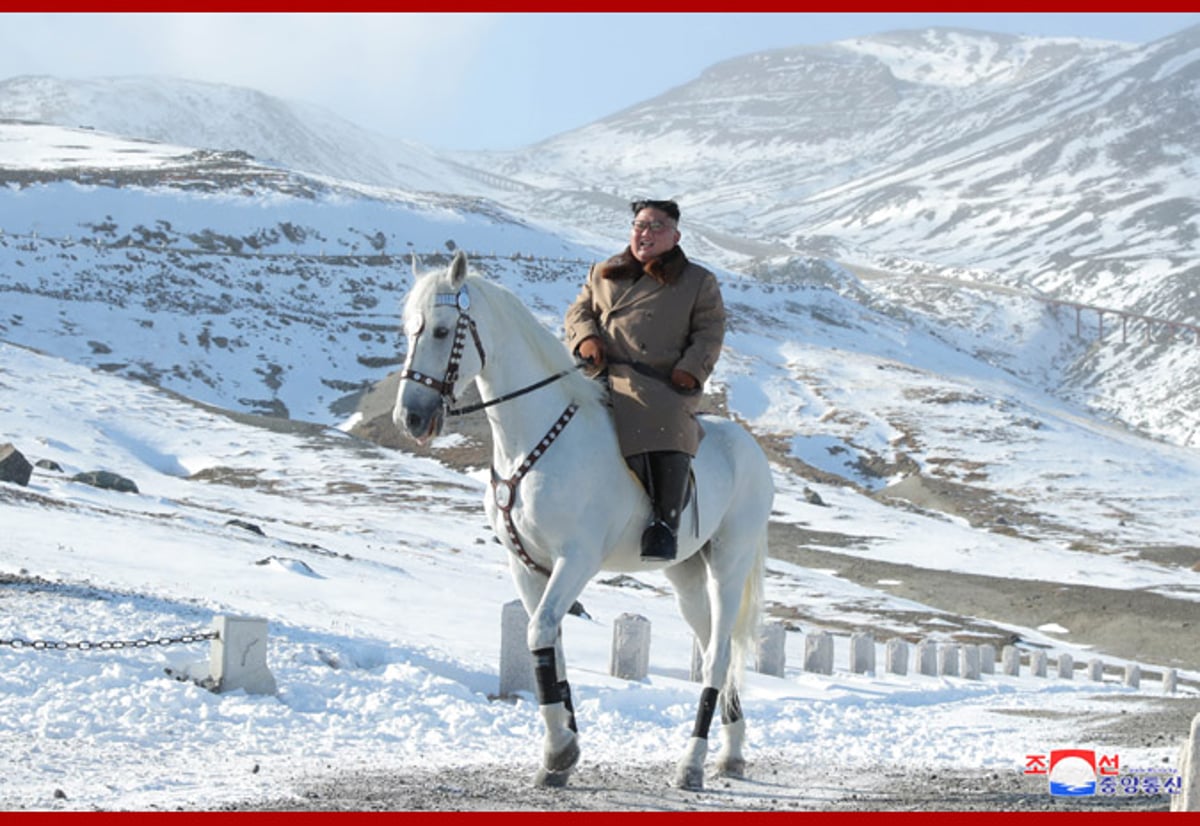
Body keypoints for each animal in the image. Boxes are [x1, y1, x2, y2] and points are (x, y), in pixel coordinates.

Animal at [388, 253, 772, 792]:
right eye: (408, 331)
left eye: (442, 331)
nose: (411, 419)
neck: (533, 440)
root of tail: (750, 449)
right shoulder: (527, 565)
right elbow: (548, 642)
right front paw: (563, 751)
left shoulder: (577, 560)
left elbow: (539, 634)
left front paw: (557, 749)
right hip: (686, 574)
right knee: (719, 649)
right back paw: (732, 753)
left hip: (728, 566)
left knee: (717, 655)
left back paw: (692, 763)